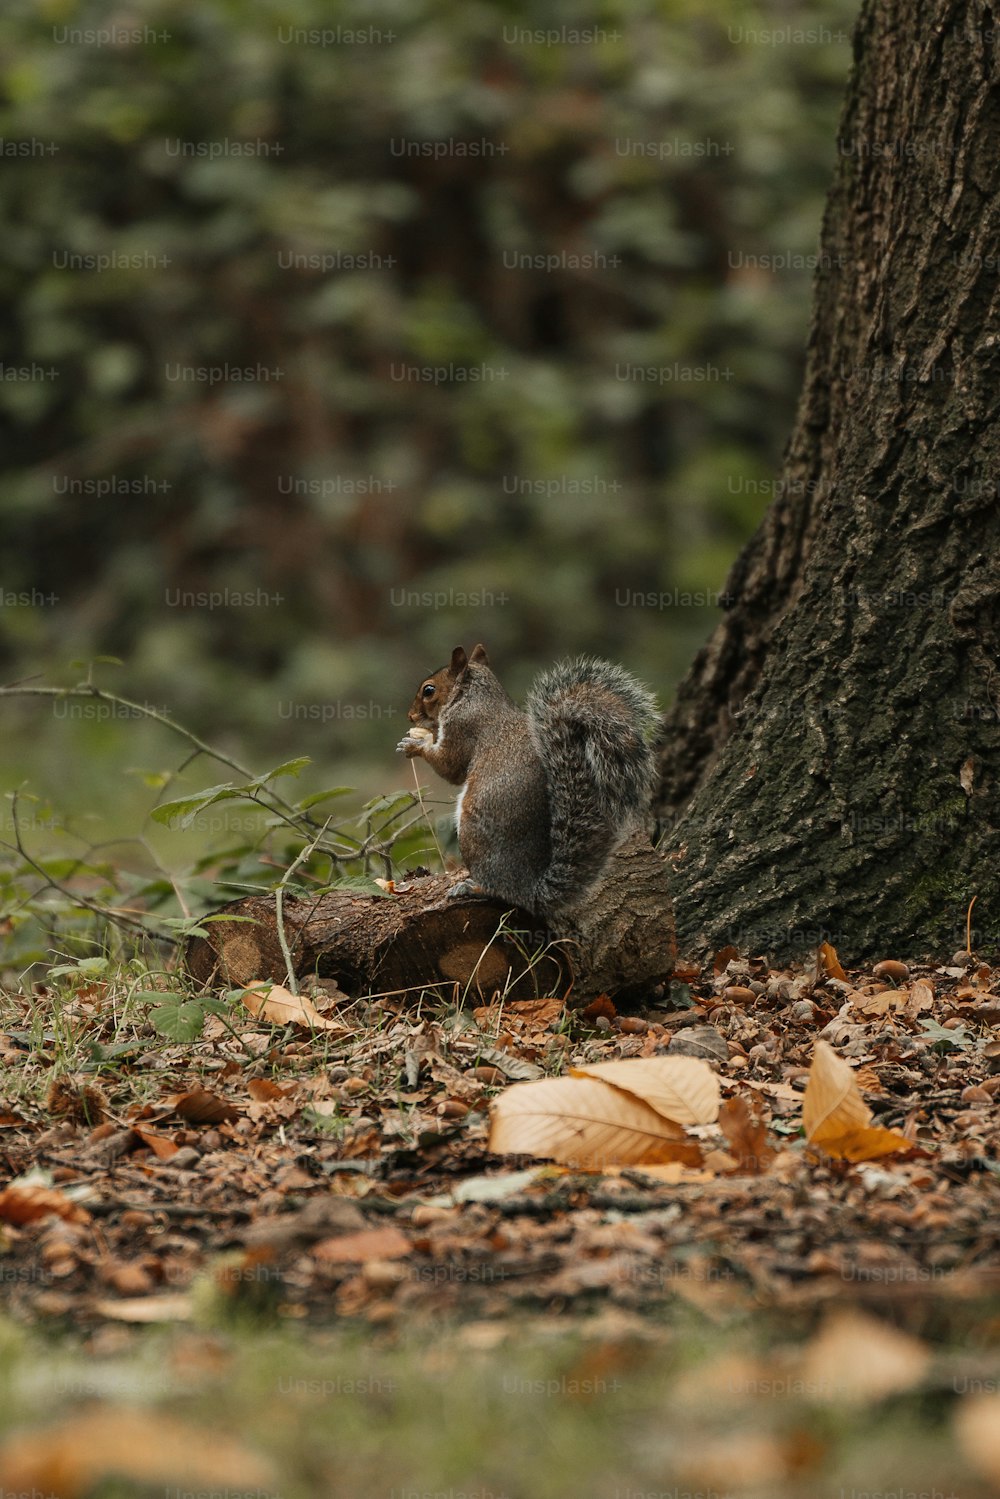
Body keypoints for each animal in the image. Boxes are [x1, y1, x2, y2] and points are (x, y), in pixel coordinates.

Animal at [395, 647, 659, 923]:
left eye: (428, 690)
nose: (410, 716)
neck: (474, 696)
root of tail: (529, 890)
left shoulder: (462, 727)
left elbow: (450, 766)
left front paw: (414, 745)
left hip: (472, 833)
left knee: (500, 892)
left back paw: (473, 887)